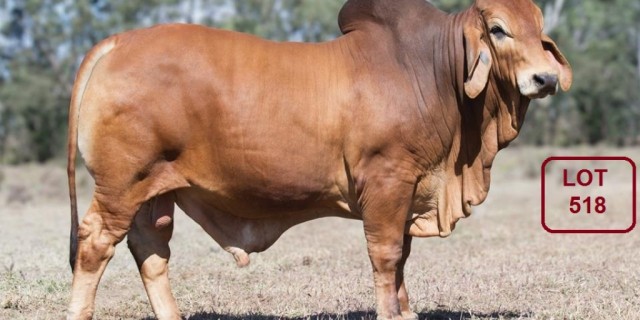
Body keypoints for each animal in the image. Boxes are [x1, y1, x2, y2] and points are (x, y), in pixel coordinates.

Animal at [67, 0, 572, 318]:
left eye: (539, 29)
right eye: (498, 29)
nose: (544, 78)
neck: (432, 71)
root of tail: (119, 41)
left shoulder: (408, 193)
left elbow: (403, 258)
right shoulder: (388, 183)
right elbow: (387, 257)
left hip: (153, 192)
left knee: (151, 250)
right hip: (120, 185)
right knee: (95, 245)